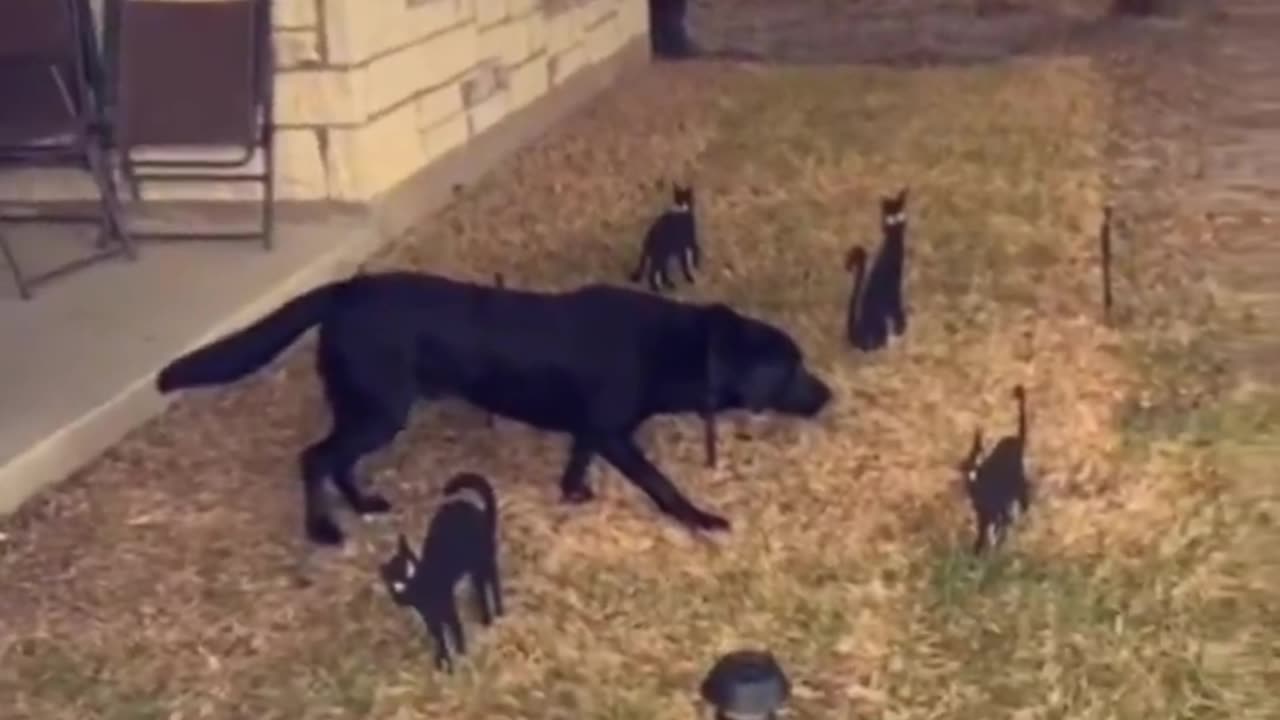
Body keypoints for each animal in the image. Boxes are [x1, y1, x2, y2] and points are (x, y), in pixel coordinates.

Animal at [154, 269, 834, 543]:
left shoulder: (592, 429)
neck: (680, 346)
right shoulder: (616, 433)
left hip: (371, 411)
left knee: (336, 459)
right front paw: (701, 519)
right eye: (792, 367)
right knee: (314, 458)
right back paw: (323, 529)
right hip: (378, 409)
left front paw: (574, 493)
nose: (829, 395)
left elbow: (577, 459)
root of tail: (343, 290)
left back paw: (365, 504)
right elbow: (660, 484)